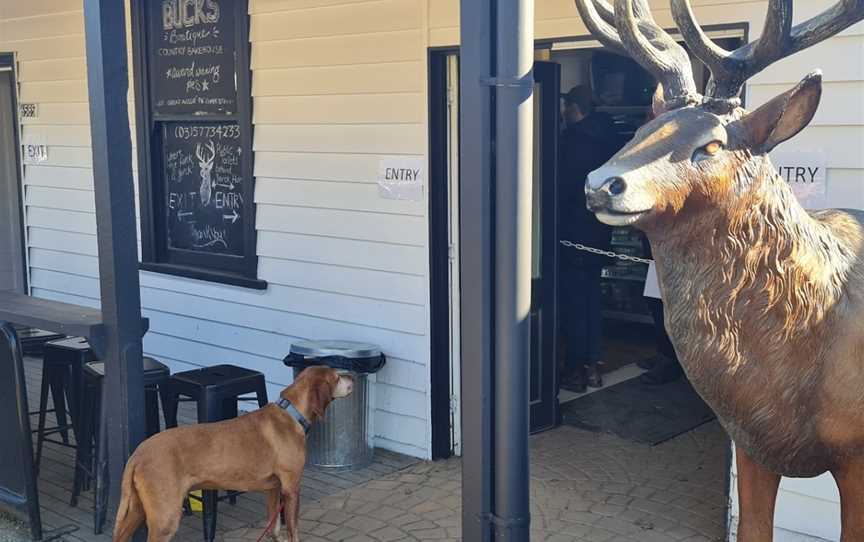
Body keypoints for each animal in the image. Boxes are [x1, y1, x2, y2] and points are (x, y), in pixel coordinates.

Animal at [113, 368, 352, 540]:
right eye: (336, 376)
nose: (352, 376)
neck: (292, 414)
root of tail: (138, 453)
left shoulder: (273, 488)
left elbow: (273, 527)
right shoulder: (291, 488)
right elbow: (293, 530)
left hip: (137, 509)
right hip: (165, 517)